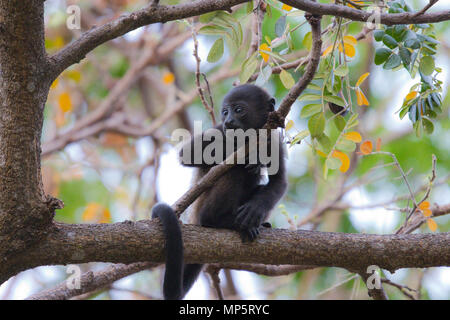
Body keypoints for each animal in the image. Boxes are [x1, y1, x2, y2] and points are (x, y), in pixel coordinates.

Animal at [152, 84, 288, 300]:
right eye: (225, 112)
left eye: (239, 110)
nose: (229, 121)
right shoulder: (218, 130)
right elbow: (188, 153)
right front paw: (253, 156)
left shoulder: (274, 141)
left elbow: (279, 181)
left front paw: (255, 209)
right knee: (234, 172)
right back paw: (220, 220)